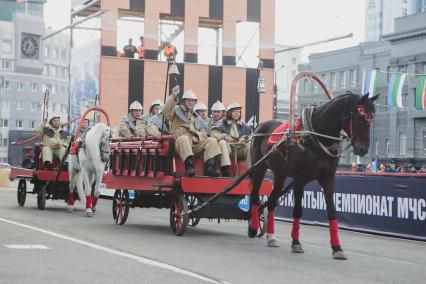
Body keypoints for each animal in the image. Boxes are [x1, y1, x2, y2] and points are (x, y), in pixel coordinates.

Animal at [248, 92, 378, 260]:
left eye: (371, 118)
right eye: (360, 117)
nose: (362, 149)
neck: (316, 138)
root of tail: (259, 127)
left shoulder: (328, 179)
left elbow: (331, 211)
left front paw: (337, 247)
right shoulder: (299, 179)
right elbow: (298, 210)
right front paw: (296, 242)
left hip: (280, 174)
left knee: (271, 201)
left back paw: (271, 236)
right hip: (259, 168)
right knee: (255, 195)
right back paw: (253, 227)